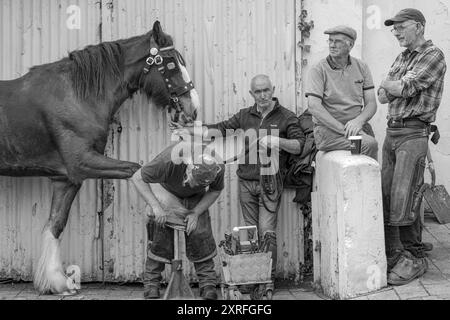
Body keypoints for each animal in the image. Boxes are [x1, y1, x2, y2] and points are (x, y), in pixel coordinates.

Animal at [0, 20, 199, 296]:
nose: (193, 109)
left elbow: (55, 224)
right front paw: (170, 207)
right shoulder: (83, 164)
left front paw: (57, 281)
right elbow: (135, 169)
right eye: (170, 63)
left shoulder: (66, 178)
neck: (76, 96)